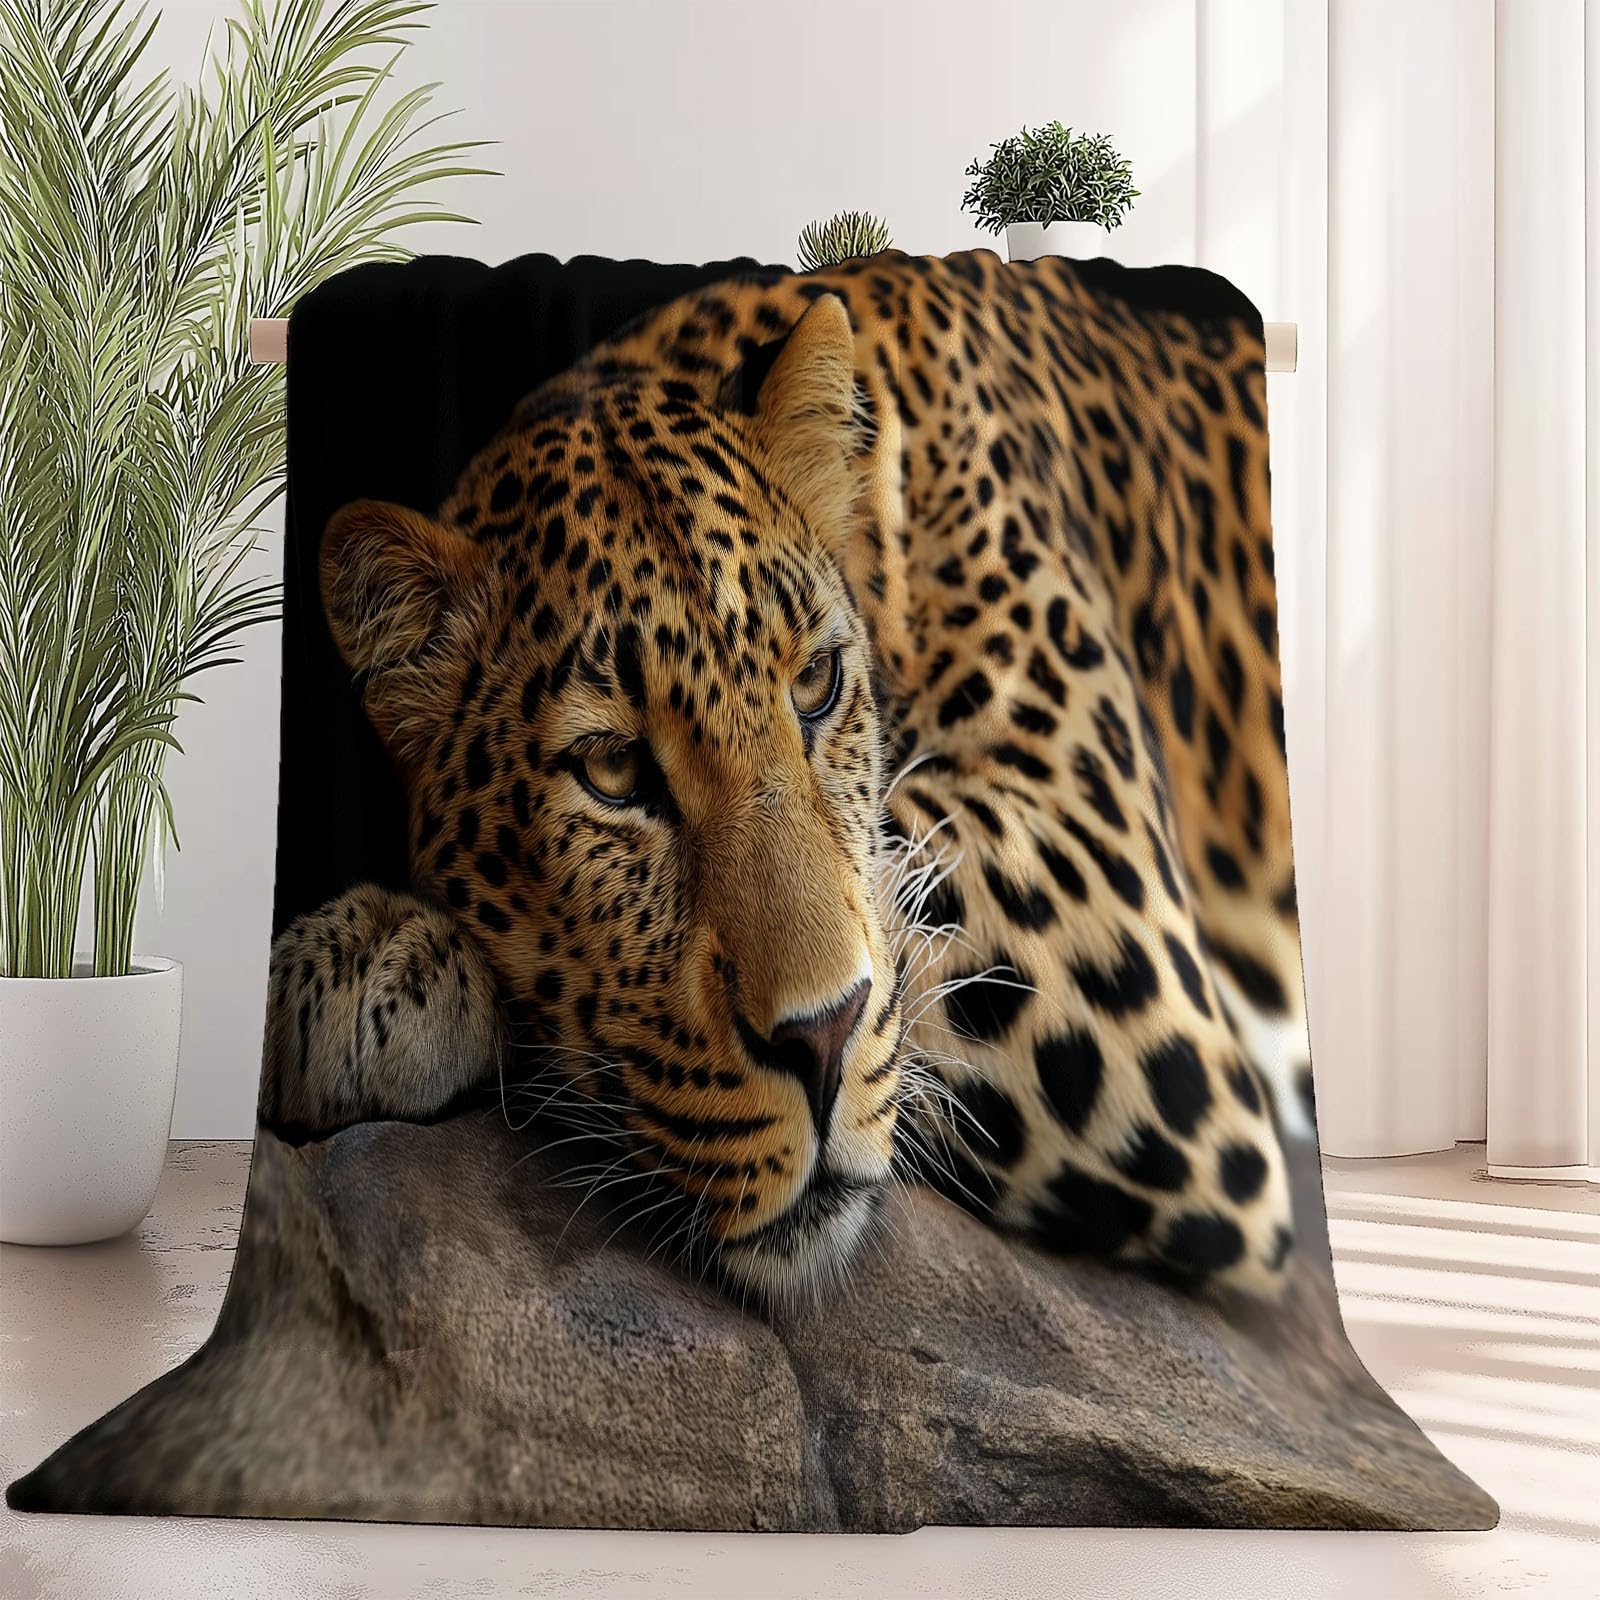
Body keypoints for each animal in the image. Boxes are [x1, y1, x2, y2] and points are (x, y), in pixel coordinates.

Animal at [261, 249, 1311, 1302]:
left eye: (815, 685)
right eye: (612, 771)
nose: (820, 1045)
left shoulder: (1114, 922)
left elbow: (901, 884)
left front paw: (381, 960)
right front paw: (375, 959)